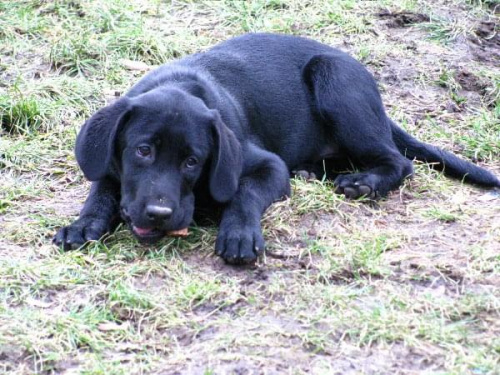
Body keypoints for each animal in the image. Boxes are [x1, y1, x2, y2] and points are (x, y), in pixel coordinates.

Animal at [52, 34, 498, 264]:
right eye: (142, 151)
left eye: (194, 161)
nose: (159, 215)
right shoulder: (110, 160)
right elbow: (102, 189)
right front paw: (83, 224)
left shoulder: (267, 165)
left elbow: (245, 192)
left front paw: (239, 234)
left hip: (336, 82)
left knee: (399, 162)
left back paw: (362, 183)